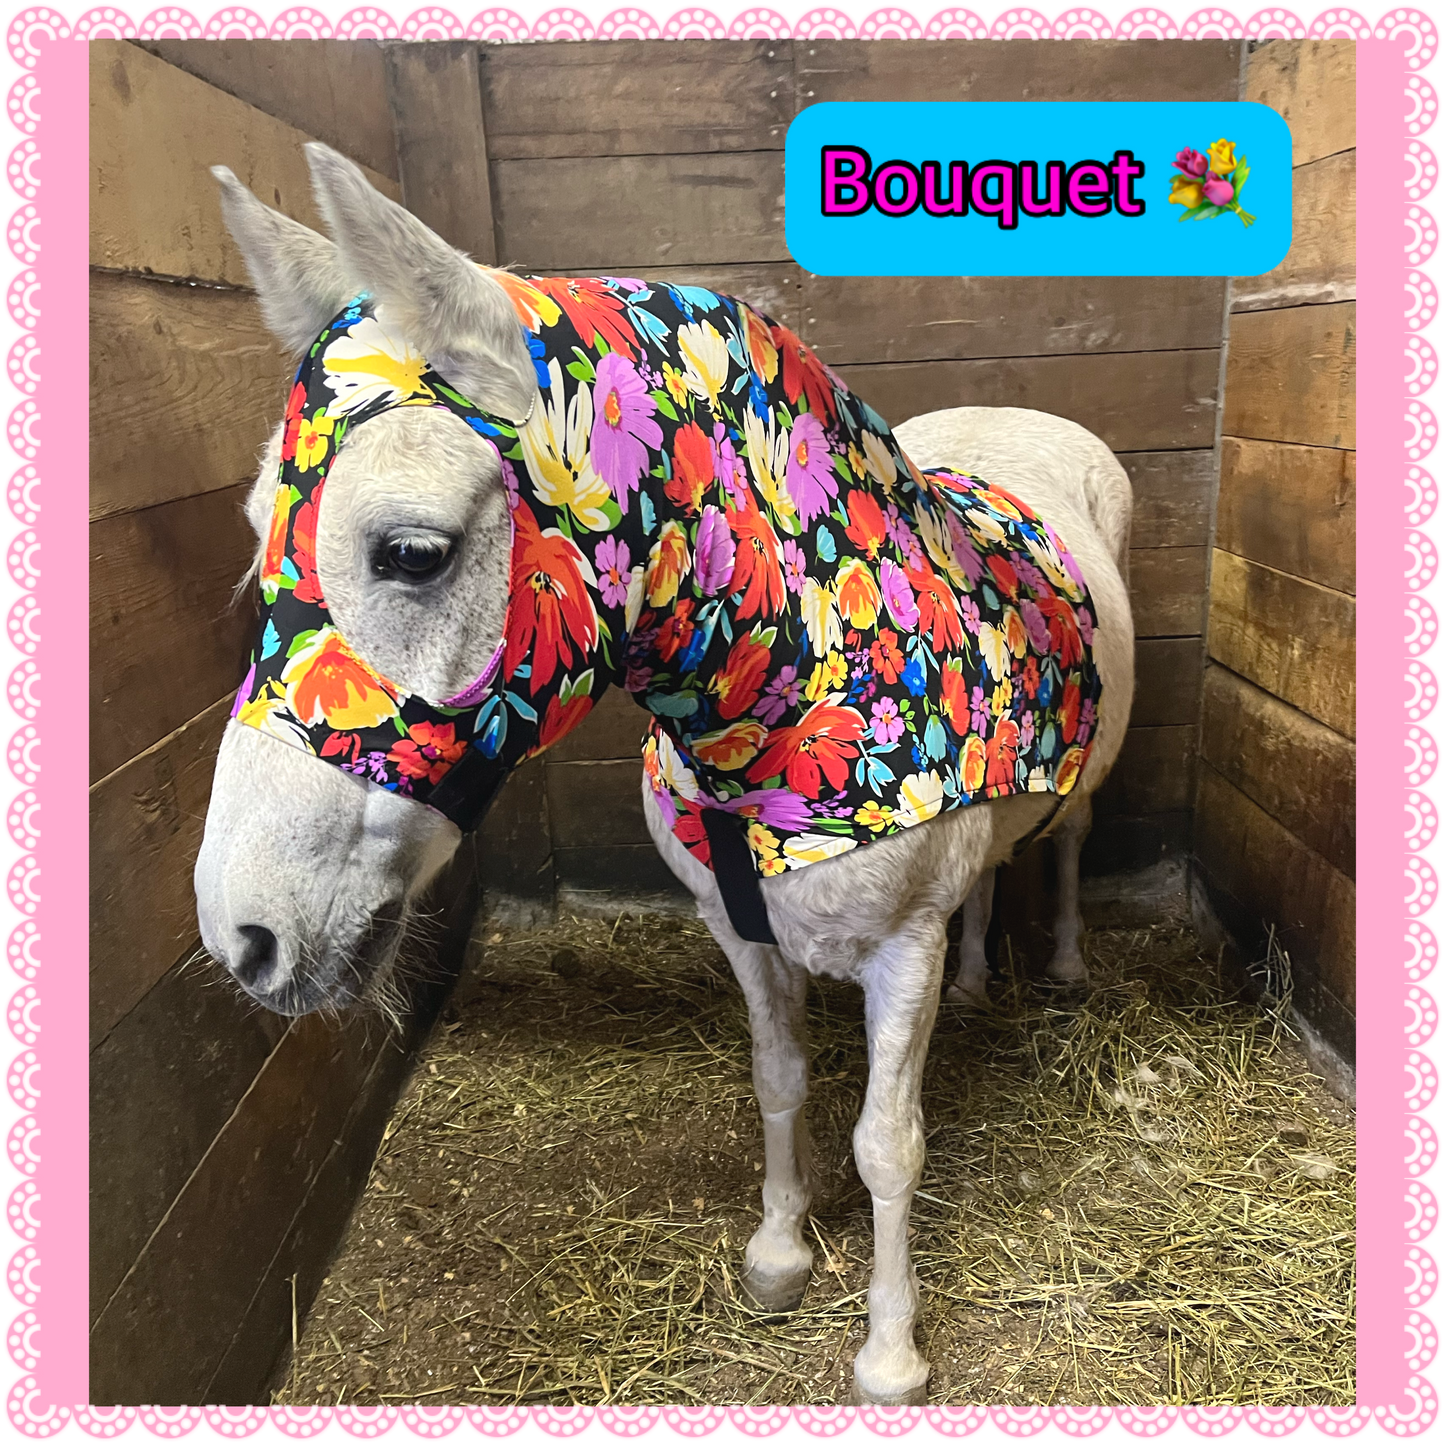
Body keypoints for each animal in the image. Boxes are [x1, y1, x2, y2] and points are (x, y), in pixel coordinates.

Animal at [194, 142, 1134, 1406]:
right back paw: (987, 975)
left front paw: (889, 1352)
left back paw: (1067, 965)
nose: (243, 931)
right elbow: (780, 1080)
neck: (785, 724)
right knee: (989, 875)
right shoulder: (740, 932)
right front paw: (780, 1253)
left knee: (1067, 840)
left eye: (412, 550)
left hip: (1080, 797)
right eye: (259, 528)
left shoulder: (900, 952)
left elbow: (887, 1145)